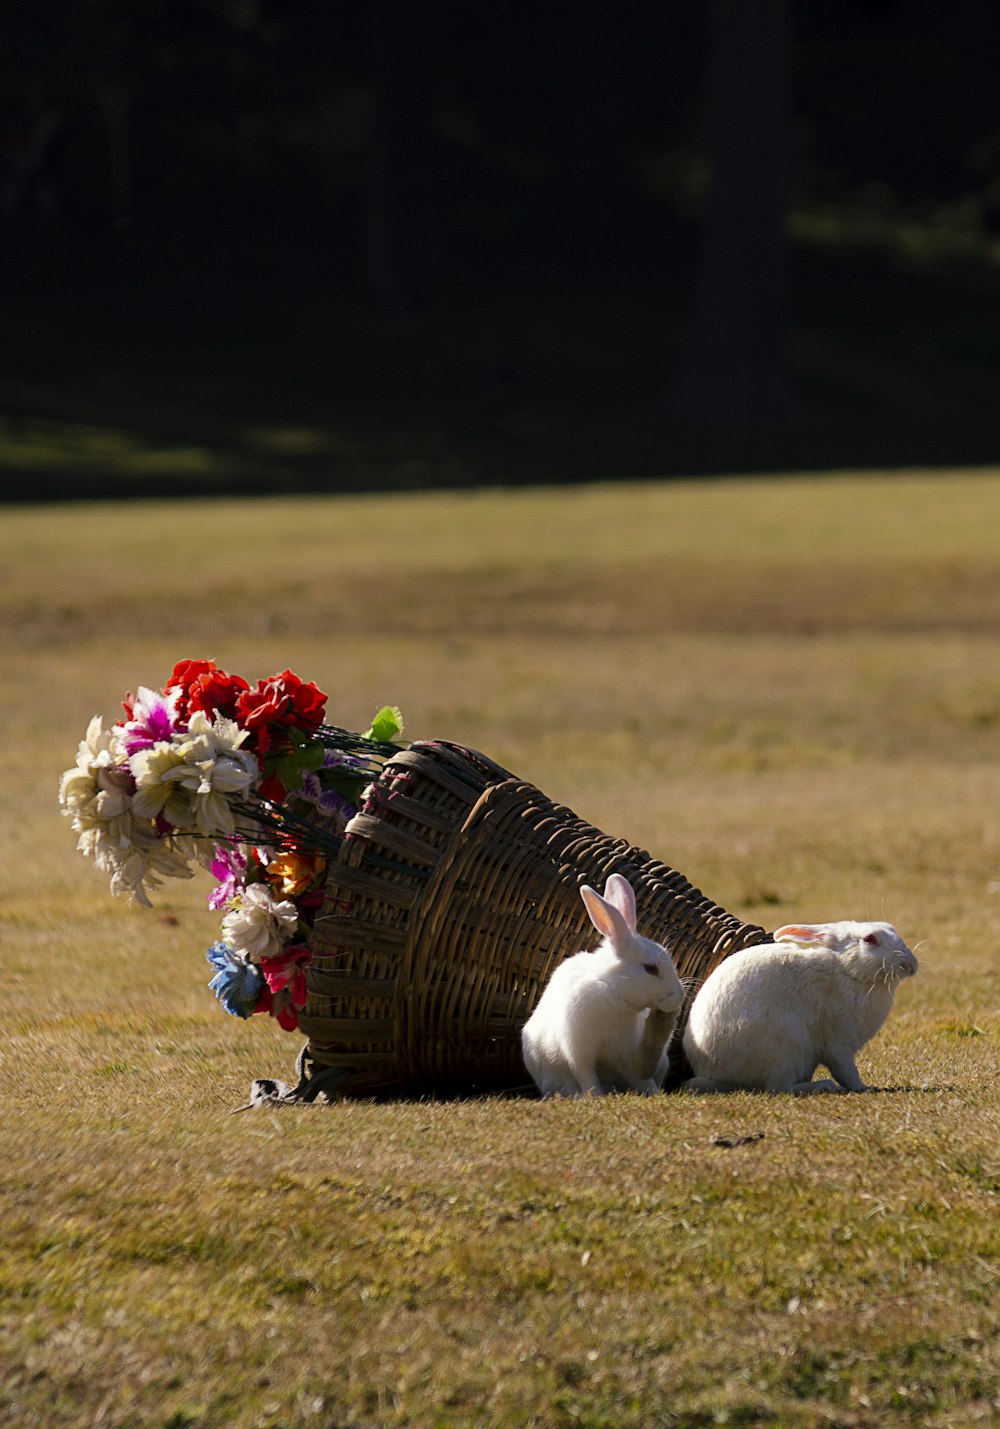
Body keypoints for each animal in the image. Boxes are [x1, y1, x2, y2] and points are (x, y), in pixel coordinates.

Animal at [520, 868, 682, 1091]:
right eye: (651, 969)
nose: (680, 996)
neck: (612, 990)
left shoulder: (625, 1055)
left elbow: (640, 1078)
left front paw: (653, 1093)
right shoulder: (579, 1053)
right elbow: (587, 1077)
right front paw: (595, 1094)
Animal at [682, 920, 920, 1097]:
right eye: (870, 939)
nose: (911, 964)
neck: (849, 972)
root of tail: (712, 1073)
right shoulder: (838, 1045)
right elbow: (847, 1072)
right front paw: (865, 1087)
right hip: (785, 1050)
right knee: (779, 1088)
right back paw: (823, 1085)